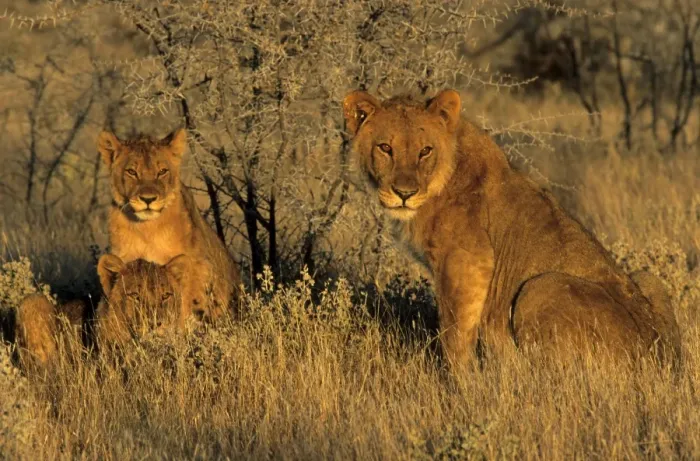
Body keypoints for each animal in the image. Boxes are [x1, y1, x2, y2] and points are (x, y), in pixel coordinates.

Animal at [342, 89, 681, 369]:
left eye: (425, 151)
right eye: (385, 148)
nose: (404, 193)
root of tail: (661, 359)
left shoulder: (466, 261)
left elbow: (454, 334)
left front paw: (459, 386)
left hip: (540, 287)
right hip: (647, 278)